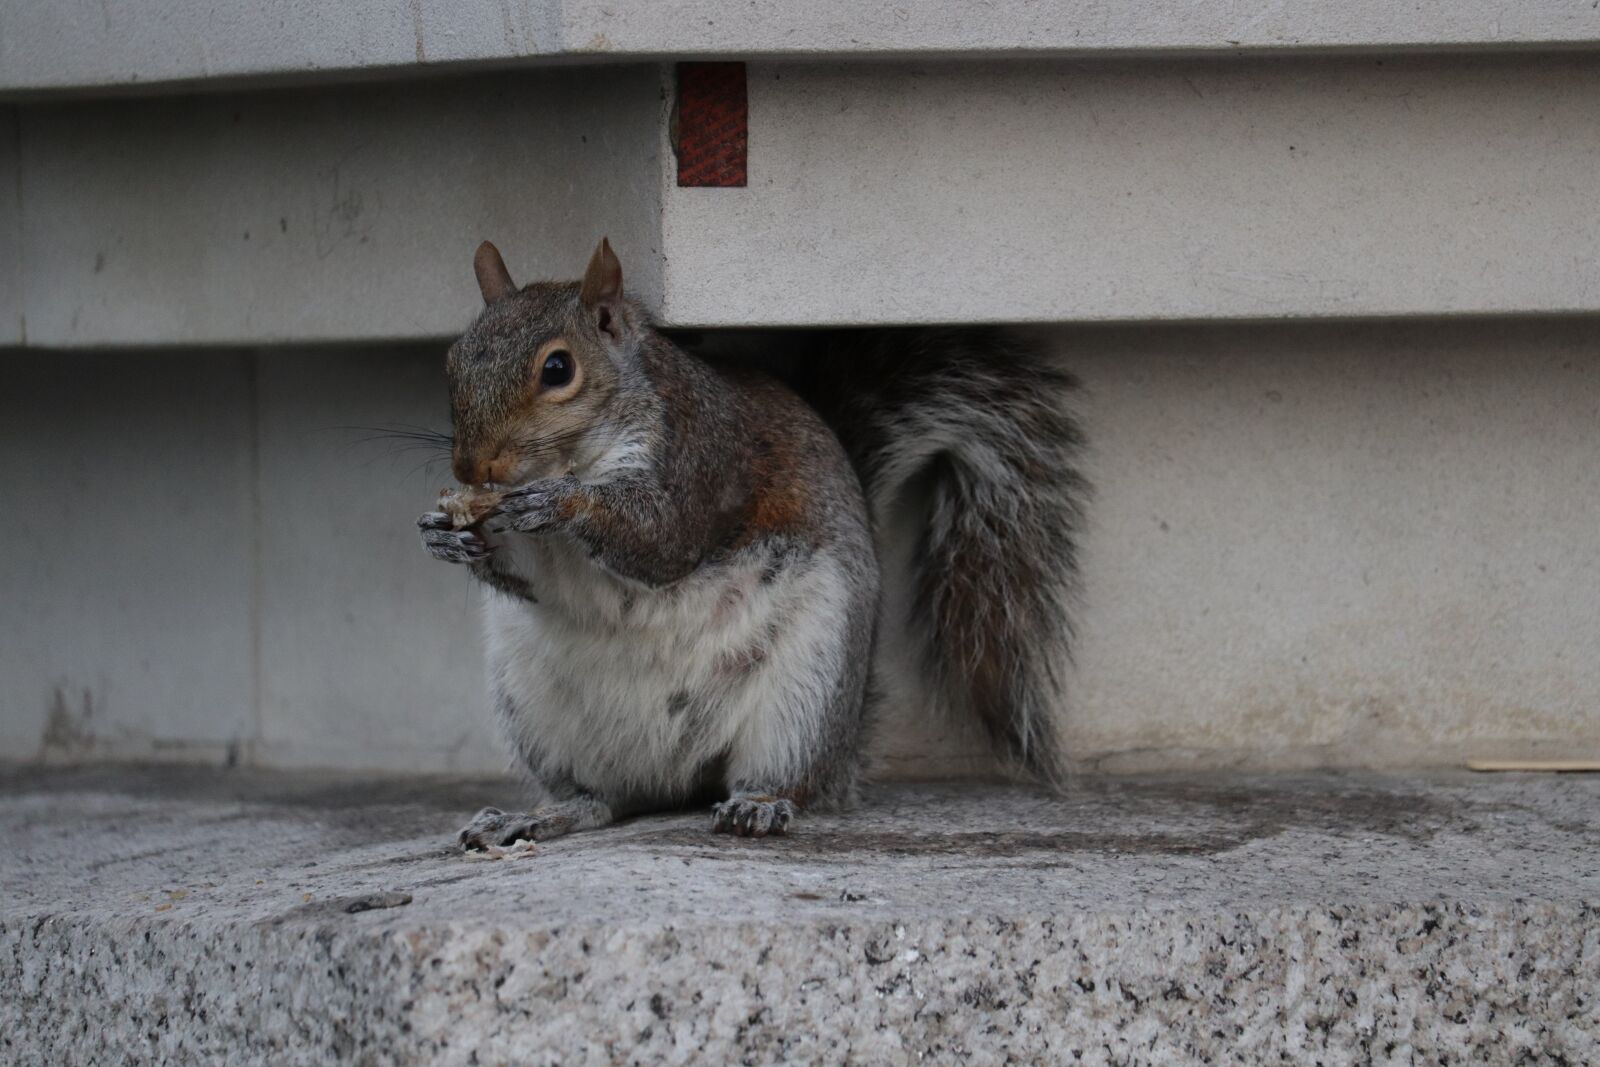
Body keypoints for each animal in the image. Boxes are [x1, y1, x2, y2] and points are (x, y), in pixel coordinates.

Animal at [418, 238, 1087, 846]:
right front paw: (447, 535)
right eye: (452, 361)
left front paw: (559, 501)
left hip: (808, 686)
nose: (473, 466)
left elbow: (663, 538)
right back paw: (538, 816)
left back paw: (758, 805)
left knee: (787, 775)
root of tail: (680, 777)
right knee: (603, 799)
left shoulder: (705, 455)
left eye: (558, 369)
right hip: (536, 711)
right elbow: (524, 577)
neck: (579, 454)